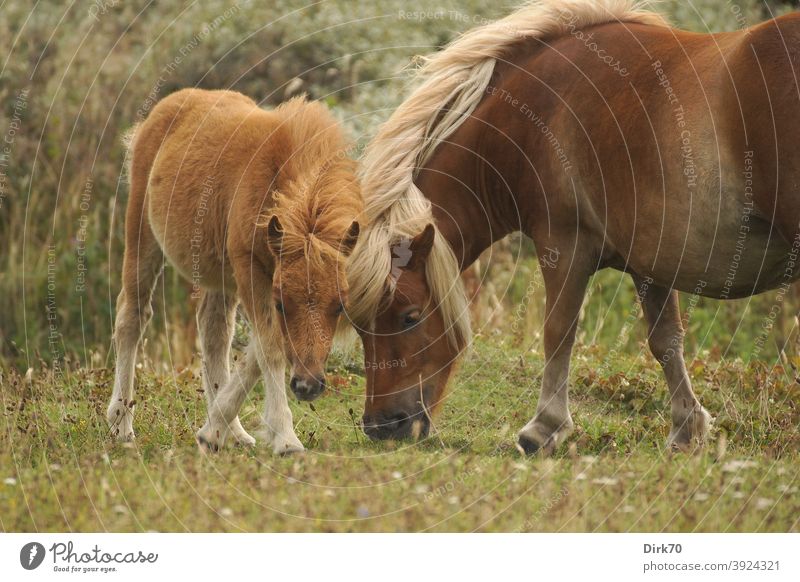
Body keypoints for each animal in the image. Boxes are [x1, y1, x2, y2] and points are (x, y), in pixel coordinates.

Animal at [108, 90, 360, 456]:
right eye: (282, 304)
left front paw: (212, 431)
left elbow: (256, 349)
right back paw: (121, 426)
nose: (307, 386)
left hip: (218, 275)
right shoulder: (250, 269)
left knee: (213, 333)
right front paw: (286, 438)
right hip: (142, 235)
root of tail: (164, 109)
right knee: (132, 316)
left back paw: (235, 433)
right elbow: (270, 348)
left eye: (339, 306)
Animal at [350, 0, 800, 456]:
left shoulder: (564, 244)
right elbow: (666, 340)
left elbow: (559, 331)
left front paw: (543, 428)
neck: (538, 110)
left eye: (409, 317)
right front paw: (686, 429)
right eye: (358, 323)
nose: (379, 426)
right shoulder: (650, 261)